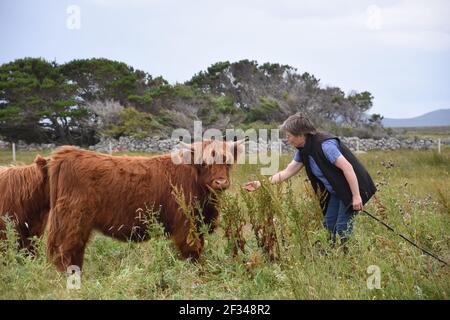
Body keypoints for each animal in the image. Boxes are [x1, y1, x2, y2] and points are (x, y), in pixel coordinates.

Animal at [46, 139, 243, 270]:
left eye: (227, 162)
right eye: (204, 163)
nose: (220, 182)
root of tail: (68, 153)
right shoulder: (186, 224)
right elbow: (192, 251)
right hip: (73, 220)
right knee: (64, 251)